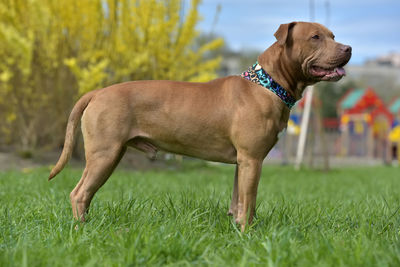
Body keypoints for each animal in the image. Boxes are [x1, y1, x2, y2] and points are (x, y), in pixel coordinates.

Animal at [49, 22, 350, 231]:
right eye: (315, 37)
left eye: (333, 36)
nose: (348, 49)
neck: (267, 84)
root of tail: (97, 92)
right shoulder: (252, 160)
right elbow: (249, 201)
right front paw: (248, 235)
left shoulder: (243, 163)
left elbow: (239, 202)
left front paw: (239, 228)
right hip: (105, 154)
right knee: (79, 193)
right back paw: (82, 229)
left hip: (109, 156)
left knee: (86, 194)